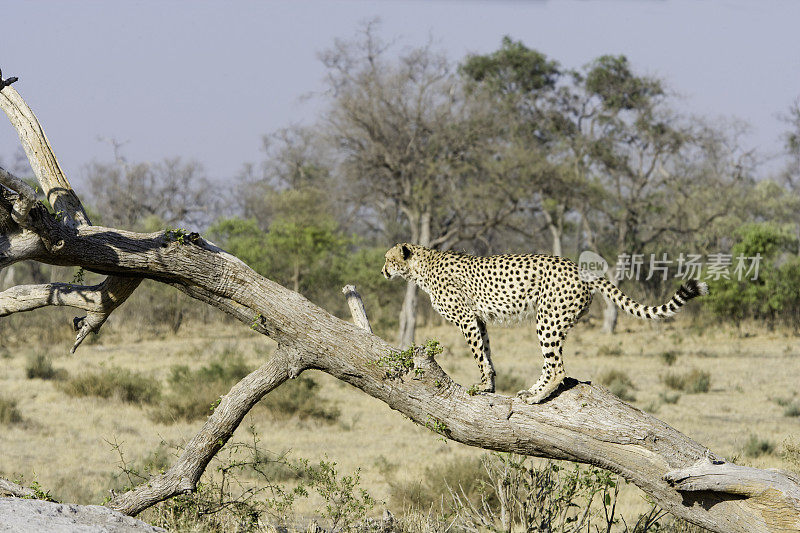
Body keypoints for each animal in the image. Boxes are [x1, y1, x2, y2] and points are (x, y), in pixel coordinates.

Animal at [384, 243, 708, 402]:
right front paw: (490, 384)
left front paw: (482, 384)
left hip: (548, 319)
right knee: (551, 364)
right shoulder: (479, 319)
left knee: (557, 368)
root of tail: (577, 265)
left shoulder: (465, 318)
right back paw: (531, 391)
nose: (383, 270)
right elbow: (486, 351)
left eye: (389, 259)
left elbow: (477, 354)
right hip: (551, 320)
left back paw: (537, 396)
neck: (422, 266)